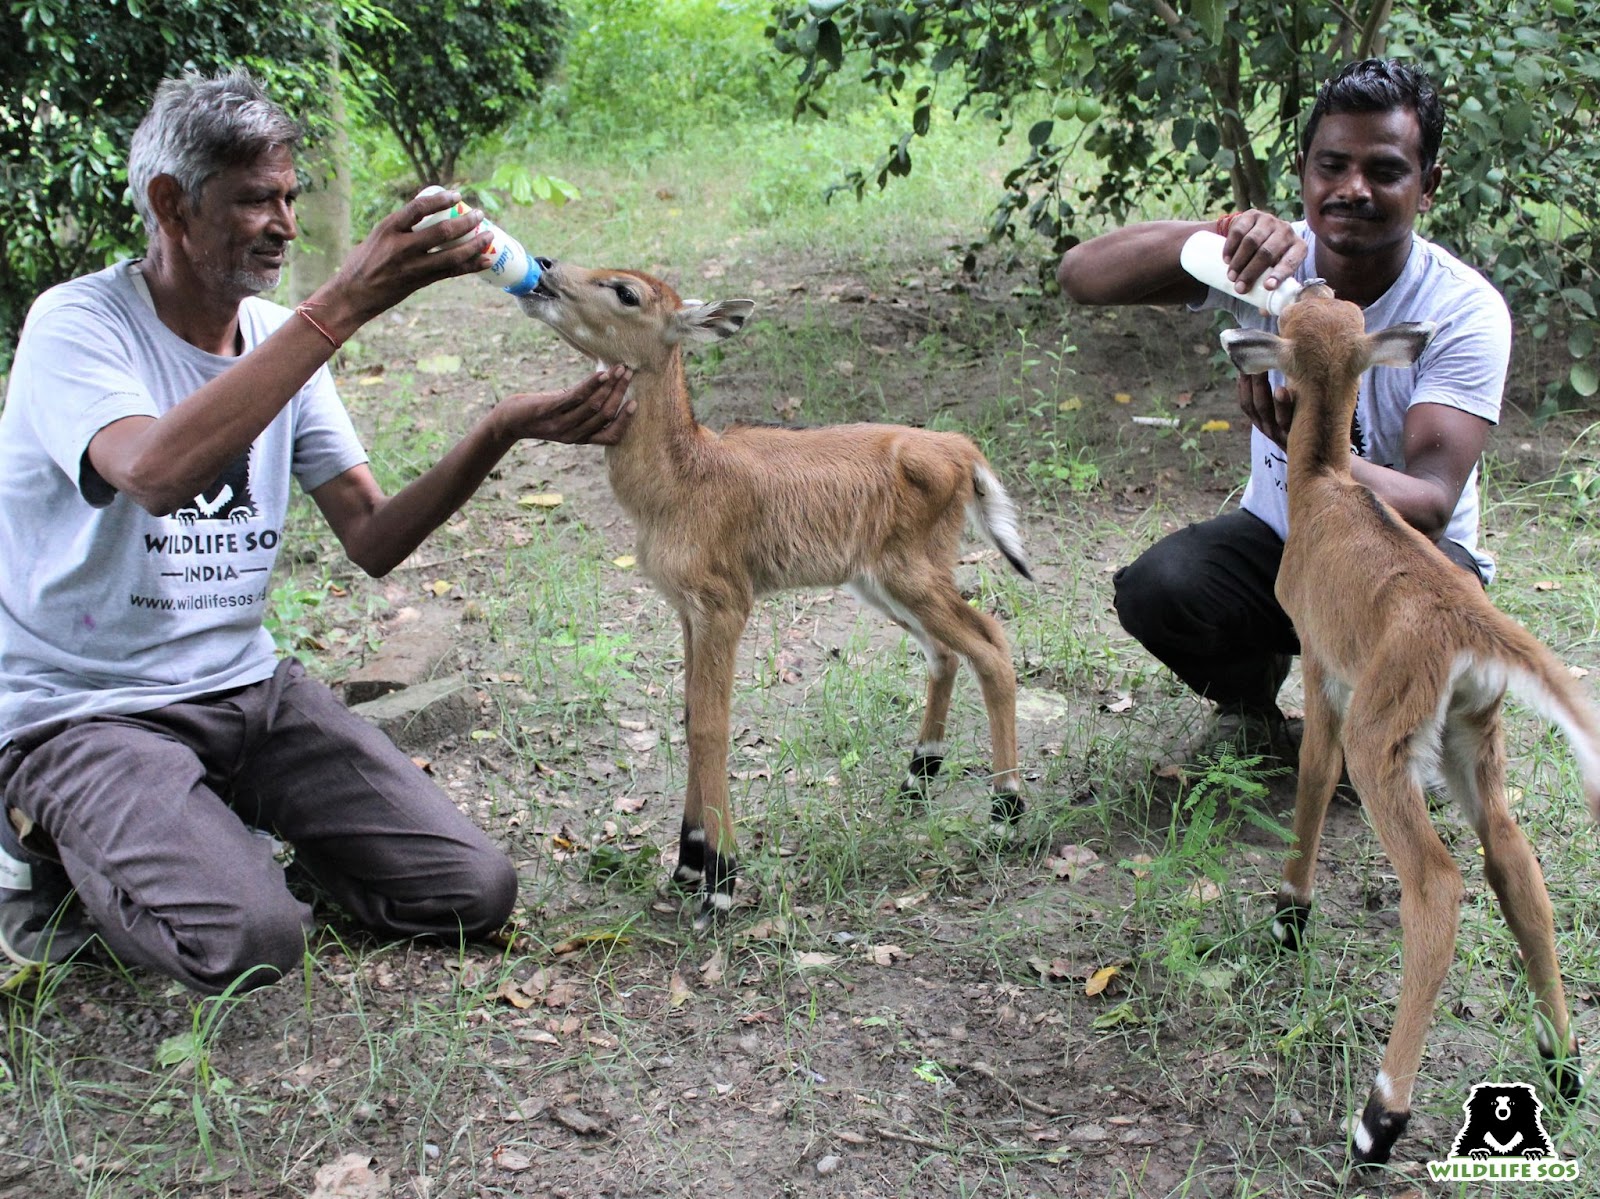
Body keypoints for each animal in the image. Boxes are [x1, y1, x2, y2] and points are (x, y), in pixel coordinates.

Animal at [518, 262, 1030, 928]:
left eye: (626, 292)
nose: (546, 270)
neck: (682, 479)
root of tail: (962, 450)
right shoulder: (686, 611)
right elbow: (690, 713)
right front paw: (688, 864)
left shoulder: (725, 605)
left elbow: (712, 725)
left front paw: (720, 881)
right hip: (881, 582)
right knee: (946, 651)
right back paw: (918, 777)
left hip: (912, 576)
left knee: (990, 644)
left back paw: (1007, 813)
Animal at [1216, 284, 1593, 1165]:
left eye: (1294, 321)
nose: (1314, 285)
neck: (1323, 485)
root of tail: (1471, 631)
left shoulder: (1324, 662)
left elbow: (1314, 774)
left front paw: (1290, 909)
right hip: (1475, 735)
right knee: (1514, 862)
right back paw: (1561, 1059)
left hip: (1387, 737)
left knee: (1439, 883)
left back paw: (1379, 1116)